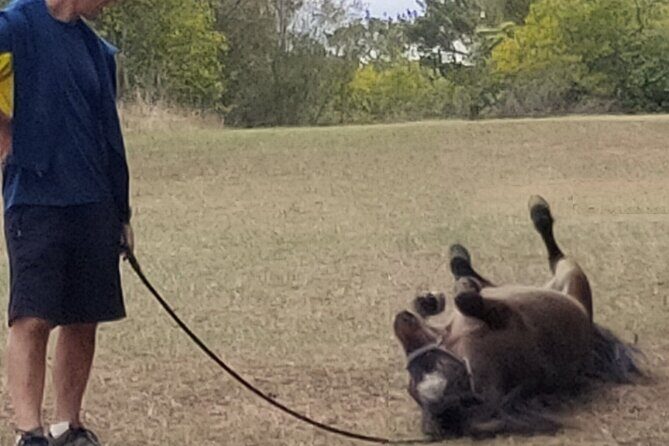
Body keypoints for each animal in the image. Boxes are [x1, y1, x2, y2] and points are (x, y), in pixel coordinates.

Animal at [393, 195, 641, 438]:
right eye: (418, 374)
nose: (399, 320)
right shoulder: (503, 316)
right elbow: (465, 299)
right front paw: (455, 290)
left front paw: (429, 300)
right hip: (573, 278)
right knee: (555, 254)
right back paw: (538, 211)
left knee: (483, 277)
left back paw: (458, 260)